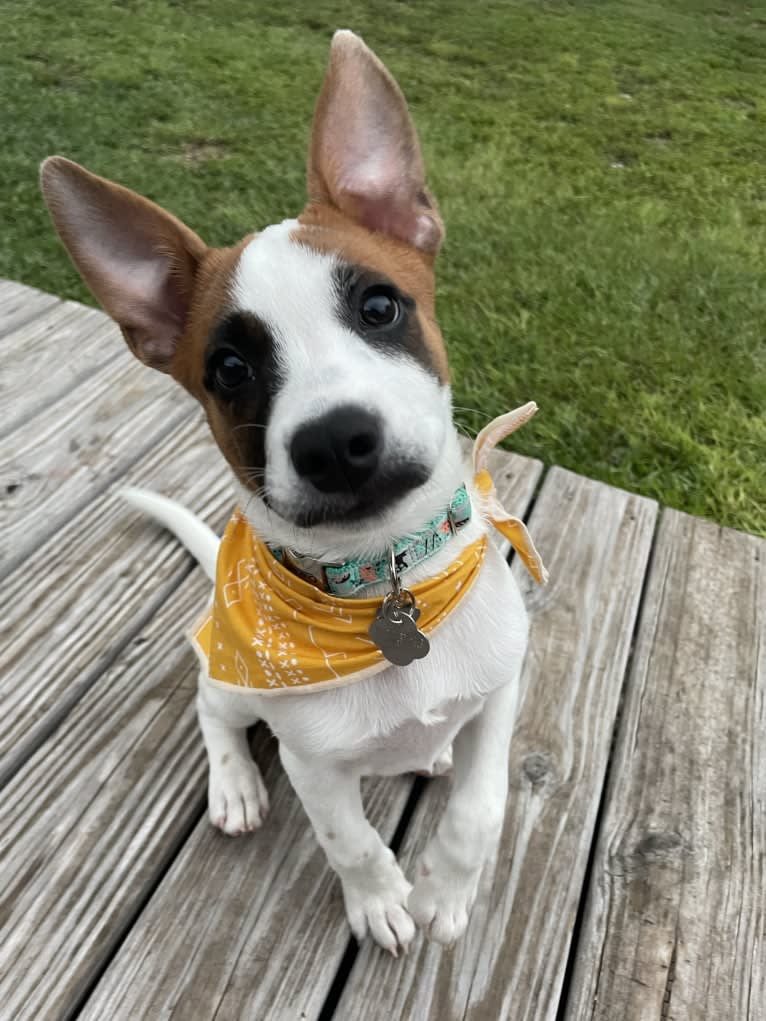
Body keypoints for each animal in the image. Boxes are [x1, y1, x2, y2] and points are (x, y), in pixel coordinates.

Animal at [40, 31, 547, 955]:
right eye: (230, 369)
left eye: (380, 306)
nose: (335, 442)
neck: (383, 585)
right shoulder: (315, 762)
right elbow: (351, 840)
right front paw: (381, 900)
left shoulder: (498, 691)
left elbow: (482, 807)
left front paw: (446, 891)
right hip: (233, 679)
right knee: (211, 708)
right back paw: (236, 784)